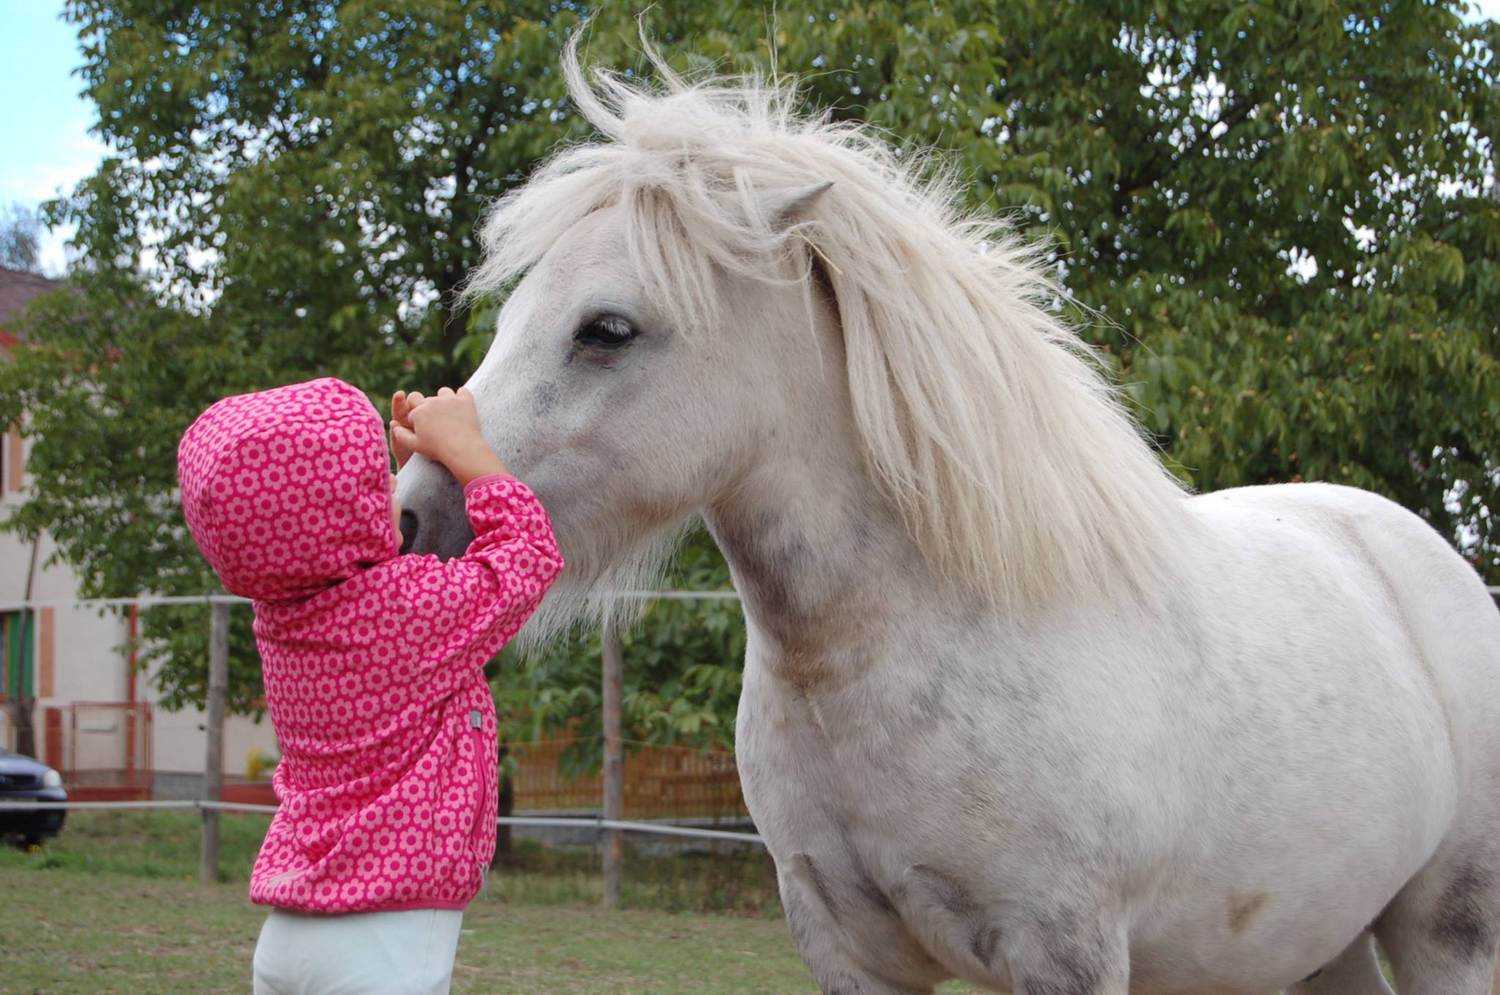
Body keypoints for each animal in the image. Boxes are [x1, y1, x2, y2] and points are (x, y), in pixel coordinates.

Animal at [399, 40, 1500, 995]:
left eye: (609, 328)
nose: (413, 517)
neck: (901, 642)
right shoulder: (850, 954)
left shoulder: (1065, 953)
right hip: (1315, 939)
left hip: (1446, 932)